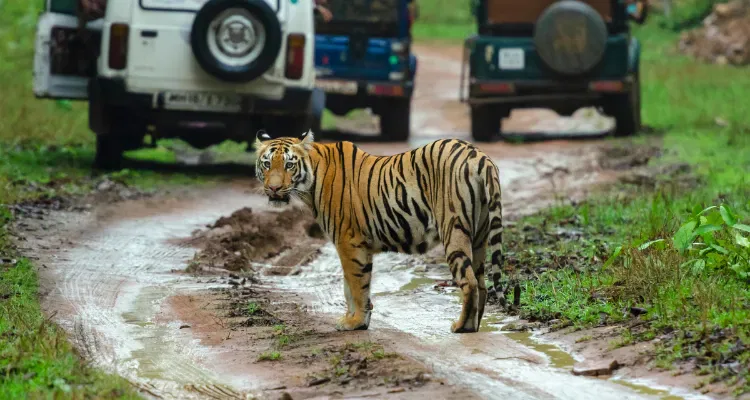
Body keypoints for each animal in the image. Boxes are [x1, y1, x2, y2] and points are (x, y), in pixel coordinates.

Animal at [254, 129, 509, 333]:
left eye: (289, 164)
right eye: (267, 164)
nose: (273, 188)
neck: (311, 181)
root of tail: (479, 156)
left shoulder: (349, 241)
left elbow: (356, 285)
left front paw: (354, 322)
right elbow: (351, 286)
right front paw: (356, 319)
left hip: (453, 229)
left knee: (469, 281)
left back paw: (461, 327)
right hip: (479, 236)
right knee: (482, 283)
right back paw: (475, 324)